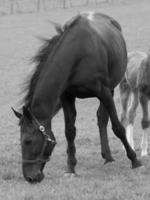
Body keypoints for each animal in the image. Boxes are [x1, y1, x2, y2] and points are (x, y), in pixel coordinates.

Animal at [12, 12, 142, 183]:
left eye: (28, 141)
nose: (30, 177)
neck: (78, 54)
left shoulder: (104, 92)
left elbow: (118, 127)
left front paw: (134, 160)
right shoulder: (67, 97)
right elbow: (70, 132)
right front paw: (71, 168)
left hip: (111, 89)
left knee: (103, 119)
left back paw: (110, 156)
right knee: (101, 118)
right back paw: (107, 156)